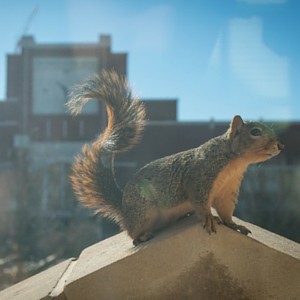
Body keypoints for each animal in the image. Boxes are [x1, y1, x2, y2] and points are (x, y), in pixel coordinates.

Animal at [67, 70, 284, 246]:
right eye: (255, 132)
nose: (281, 145)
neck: (233, 163)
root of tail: (122, 207)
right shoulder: (198, 177)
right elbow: (201, 203)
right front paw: (208, 218)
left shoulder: (227, 190)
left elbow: (225, 211)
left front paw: (234, 225)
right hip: (143, 212)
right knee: (133, 235)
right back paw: (142, 236)